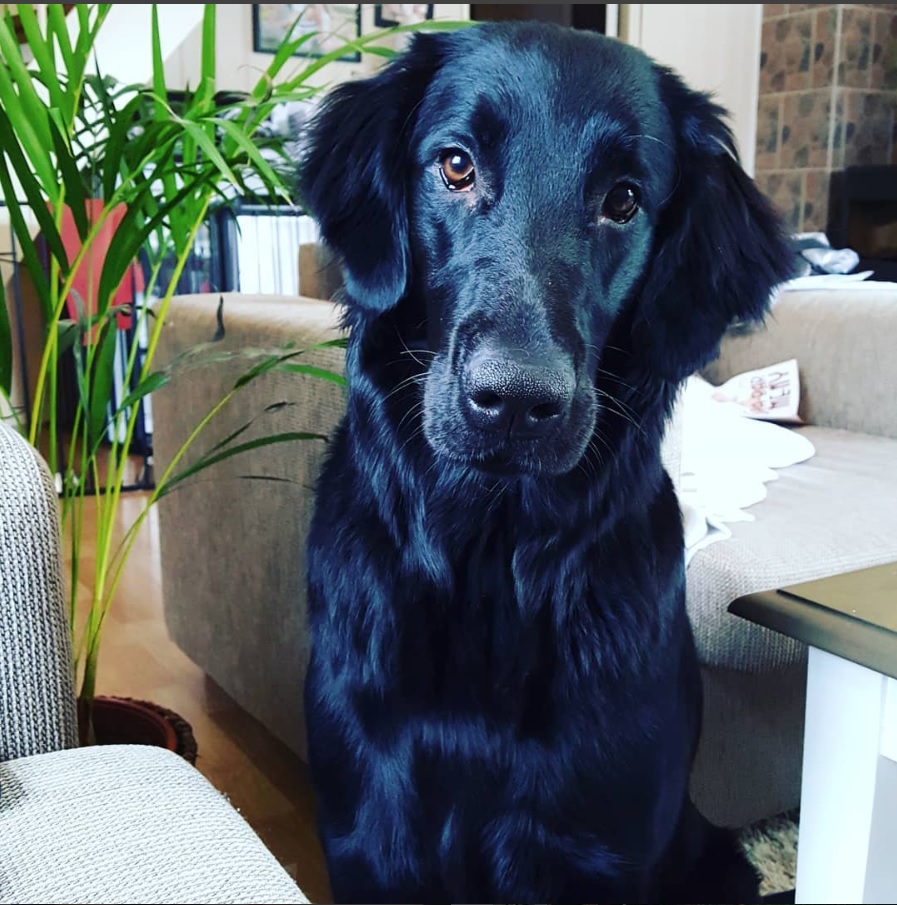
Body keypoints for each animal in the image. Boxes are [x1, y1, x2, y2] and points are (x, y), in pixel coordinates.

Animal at [298, 21, 788, 904]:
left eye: (623, 199)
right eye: (456, 164)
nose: (516, 400)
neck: (490, 558)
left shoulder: (592, 850)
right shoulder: (365, 839)